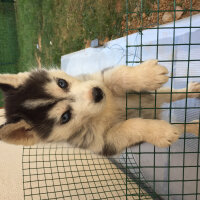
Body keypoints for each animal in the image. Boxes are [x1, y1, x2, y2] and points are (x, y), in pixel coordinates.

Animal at [0, 60, 198, 155]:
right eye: (65, 117)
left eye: (62, 83)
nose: (97, 93)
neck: (105, 109)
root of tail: (157, 109)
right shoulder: (107, 141)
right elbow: (132, 125)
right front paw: (160, 132)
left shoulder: (99, 78)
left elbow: (114, 76)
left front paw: (146, 74)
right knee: (179, 126)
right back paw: (193, 126)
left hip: (156, 94)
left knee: (174, 94)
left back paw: (193, 90)